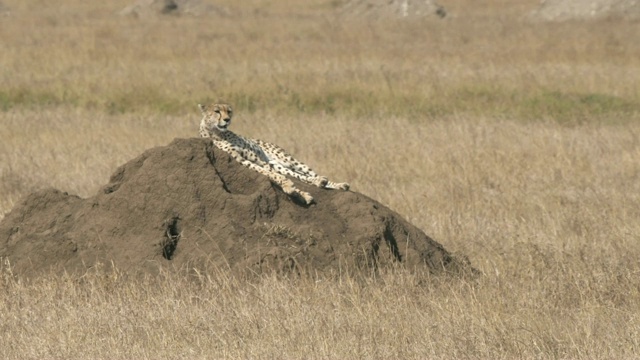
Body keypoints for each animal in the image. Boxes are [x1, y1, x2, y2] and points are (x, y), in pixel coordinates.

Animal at [199, 104, 350, 204]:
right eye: (217, 111)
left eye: (229, 111)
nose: (227, 119)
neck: (216, 132)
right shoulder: (241, 159)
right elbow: (272, 174)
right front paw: (295, 190)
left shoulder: (257, 159)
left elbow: (273, 174)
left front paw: (295, 190)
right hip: (277, 164)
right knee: (297, 175)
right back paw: (321, 182)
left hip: (287, 160)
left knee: (308, 173)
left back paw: (335, 184)